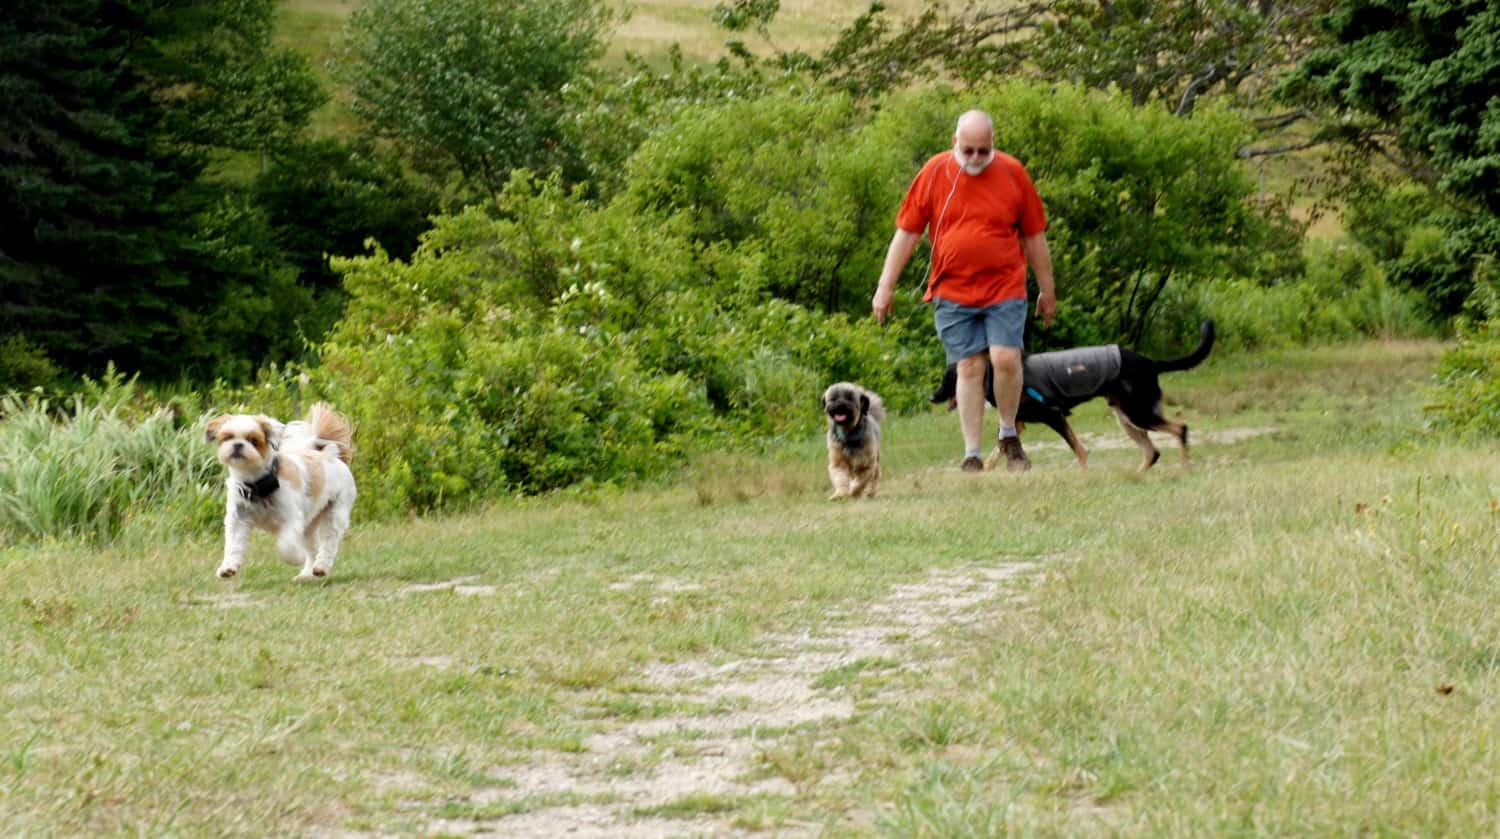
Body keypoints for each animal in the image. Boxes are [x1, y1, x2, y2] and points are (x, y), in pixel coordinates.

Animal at [924, 319, 1218, 468]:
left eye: (948, 380)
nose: (931, 397)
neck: (994, 375)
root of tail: (1149, 362)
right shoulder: (1017, 423)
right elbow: (999, 449)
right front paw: (983, 468)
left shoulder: (1054, 416)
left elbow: (1079, 449)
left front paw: (1085, 472)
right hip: (1126, 417)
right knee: (1152, 452)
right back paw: (1137, 475)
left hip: (1139, 412)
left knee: (1180, 429)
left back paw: (1183, 466)